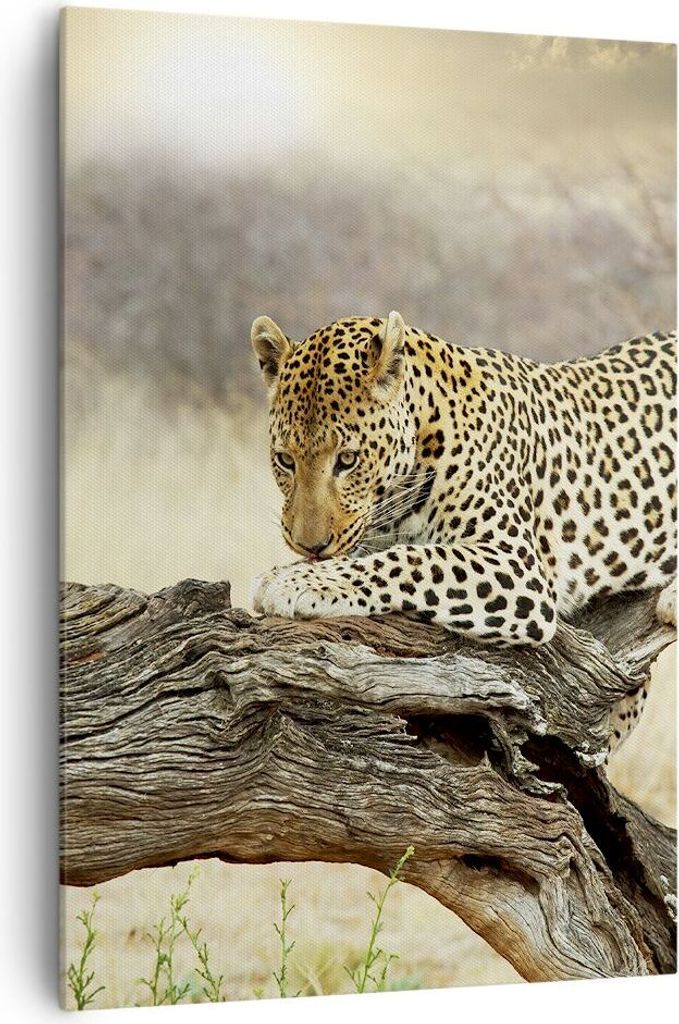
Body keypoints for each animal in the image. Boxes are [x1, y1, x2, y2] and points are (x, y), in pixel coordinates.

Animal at [250, 311, 677, 744]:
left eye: (348, 460)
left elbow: (411, 559)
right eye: (285, 460)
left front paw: (295, 581)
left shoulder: (517, 565)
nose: (309, 546)